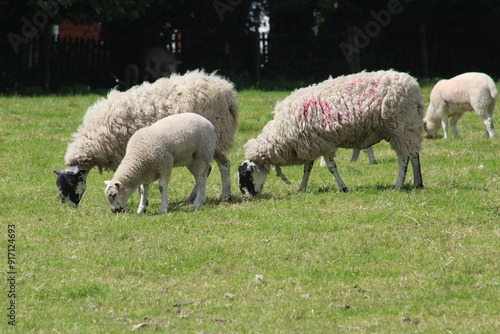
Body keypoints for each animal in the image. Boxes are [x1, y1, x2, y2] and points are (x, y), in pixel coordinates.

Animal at [54, 70, 238, 206]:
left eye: (71, 184)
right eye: (59, 185)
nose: (69, 205)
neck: (95, 138)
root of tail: (226, 89)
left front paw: (144, 200)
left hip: (217, 138)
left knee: (224, 165)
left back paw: (225, 196)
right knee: (206, 171)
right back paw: (192, 198)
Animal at [238, 70, 426, 196]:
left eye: (247, 175)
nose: (246, 197)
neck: (281, 133)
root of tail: (414, 86)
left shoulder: (322, 143)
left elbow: (331, 167)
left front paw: (343, 187)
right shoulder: (311, 143)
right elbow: (308, 168)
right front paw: (302, 188)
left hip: (399, 126)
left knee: (403, 158)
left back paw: (398, 185)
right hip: (409, 126)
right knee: (414, 154)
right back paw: (418, 183)